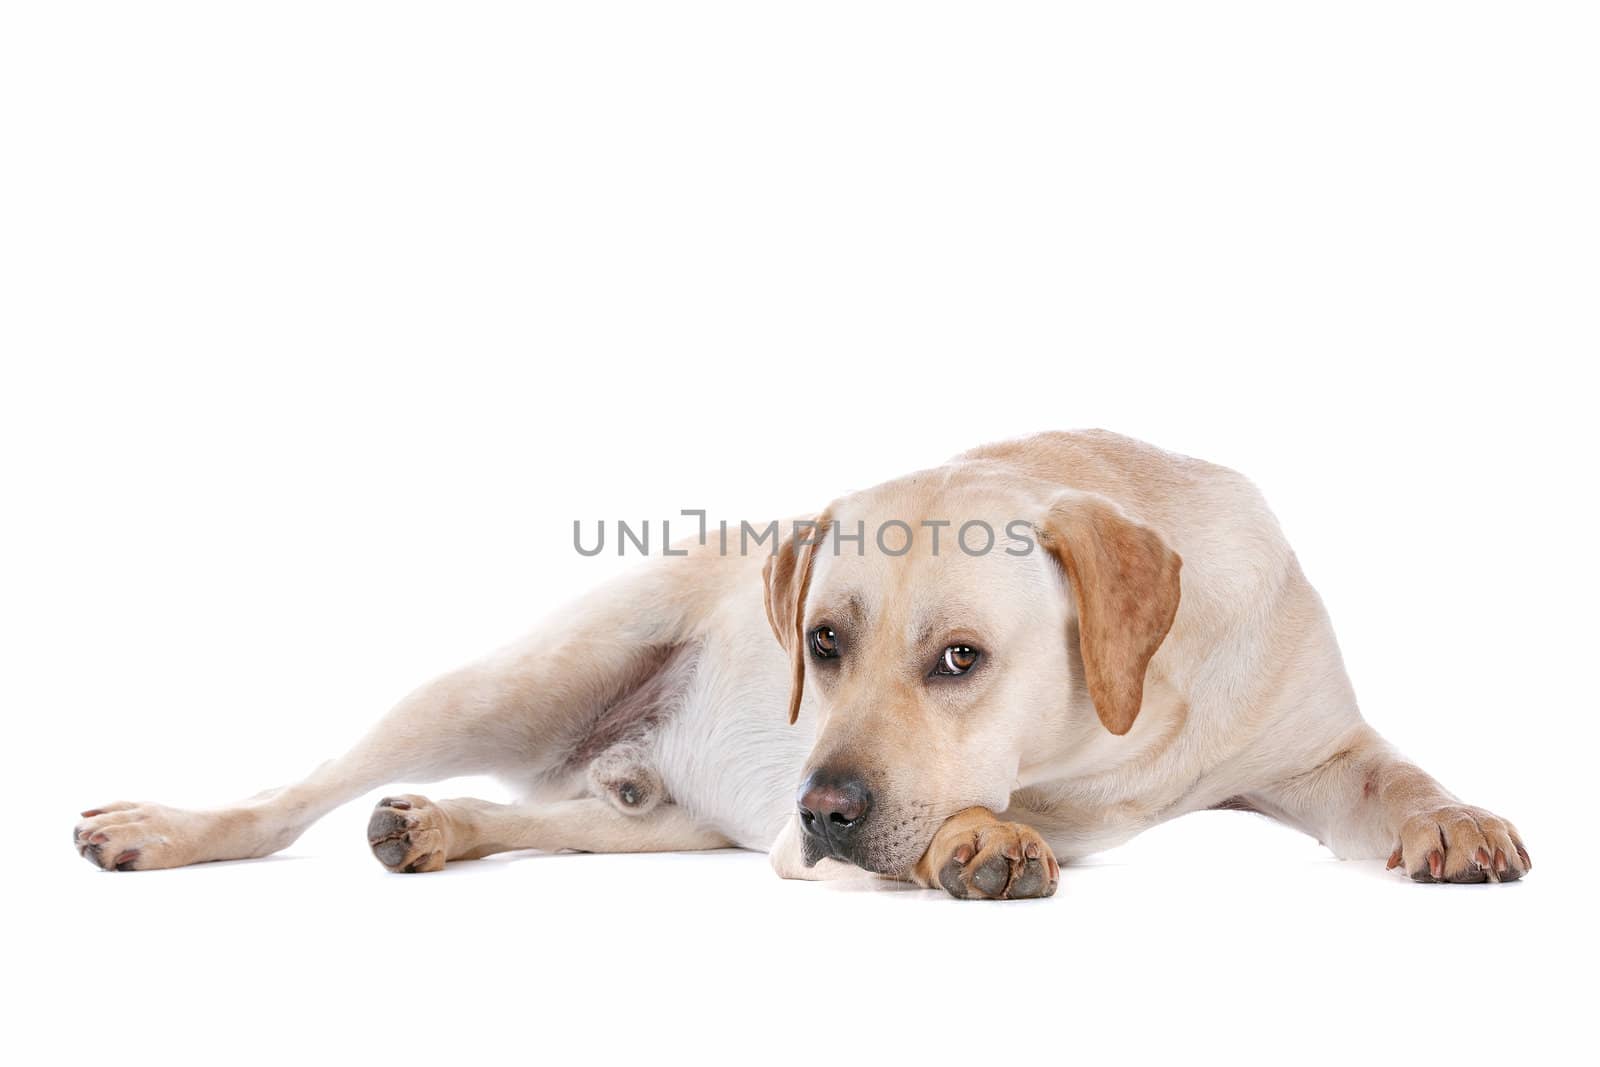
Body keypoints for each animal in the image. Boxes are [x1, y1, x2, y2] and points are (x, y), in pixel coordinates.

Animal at [68, 428, 1529, 895]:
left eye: (960, 657)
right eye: (822, 642)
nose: (822, 807)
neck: (1129, 724)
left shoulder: (1318, 744)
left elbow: (1394, 774)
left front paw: (1454, 816)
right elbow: (983, 811)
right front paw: (986, 837)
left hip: (657, 822)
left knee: (565, 815)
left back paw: (438, 823)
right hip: (513, 678)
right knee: (287, 799)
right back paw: (174, 825)